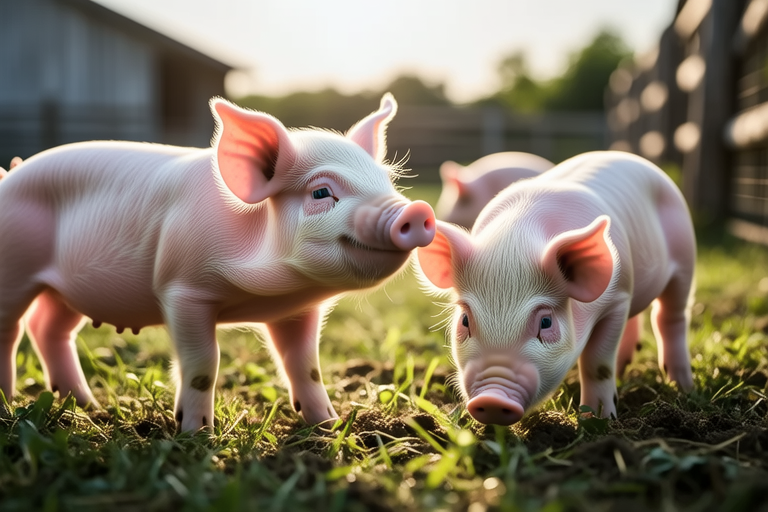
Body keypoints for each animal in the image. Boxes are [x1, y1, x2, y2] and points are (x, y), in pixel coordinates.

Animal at [0, 93, 436, 431]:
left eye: (387, 182)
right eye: (321, 192)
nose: (415, 210)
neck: (270, 291)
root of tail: (13, 173)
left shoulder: (297, 309)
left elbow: (305, 365)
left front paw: (328, 425)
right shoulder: (181, 291)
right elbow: (203, 363)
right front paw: (197, 434)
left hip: (64, 290)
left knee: (49, 328)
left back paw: (85, 406)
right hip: (13, 267)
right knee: (12, 329)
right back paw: (10, 402)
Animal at [417, 151, 695, 425]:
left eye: (546, 322)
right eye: (464, 320)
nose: (492, 399)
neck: (515, 242)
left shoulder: (617, 298)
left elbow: (597, 363)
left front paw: (597, 419)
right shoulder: (624, 295)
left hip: (684, 260)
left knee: (669, 317)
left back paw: (682, 387)